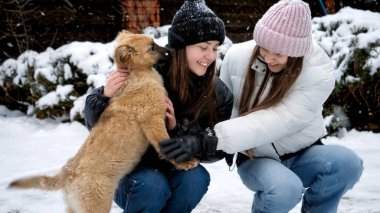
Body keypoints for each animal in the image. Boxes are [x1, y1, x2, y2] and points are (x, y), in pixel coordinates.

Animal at [8, 31, 199, 213]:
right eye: (152, 47)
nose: (172, 51)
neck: (137, 75)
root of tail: (67, 174)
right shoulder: (152, 120)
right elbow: (165, 143)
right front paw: (184, 163)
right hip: (97, 205)